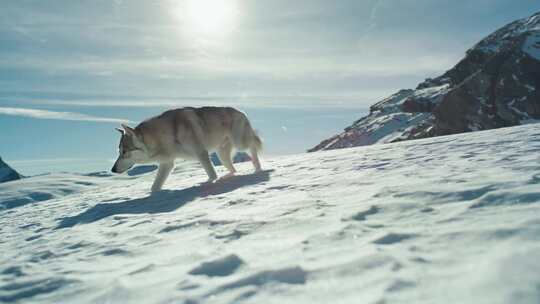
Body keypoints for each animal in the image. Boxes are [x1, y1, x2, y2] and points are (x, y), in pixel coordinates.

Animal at [110, 107, 262, 192]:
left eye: (124, 152)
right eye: (119, 152)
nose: (112, 170)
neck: (164, 135)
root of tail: (242, 112)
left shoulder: (201, 153)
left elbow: (212, 175)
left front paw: (207, 183)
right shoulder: (167, 164)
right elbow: (154, 187)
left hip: (240, 143)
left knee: (254, 146)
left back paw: (258, 167)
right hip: (222, 155)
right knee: (233, 169)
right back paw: (228, 177)